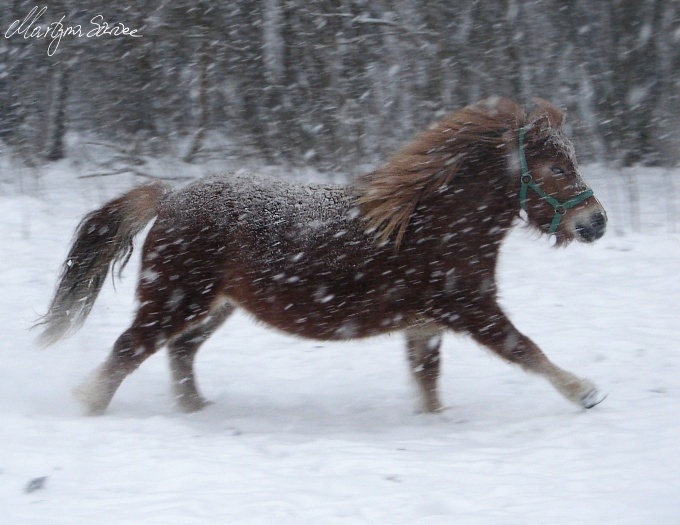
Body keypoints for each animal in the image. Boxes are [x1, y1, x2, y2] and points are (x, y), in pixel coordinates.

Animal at [37, 98, 608, 416]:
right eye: (556, 167)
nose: (596, 221)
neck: (431, 224)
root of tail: (170, 198)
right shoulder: (469, 308)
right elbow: (524, 349)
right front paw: (585, 392)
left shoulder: (426, 324)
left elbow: (428, 379)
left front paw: (434, 418)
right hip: (176, 300)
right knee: (130, 349)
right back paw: (89, 404)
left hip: (213, 307)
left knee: (180, 352)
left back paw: (195, 409)